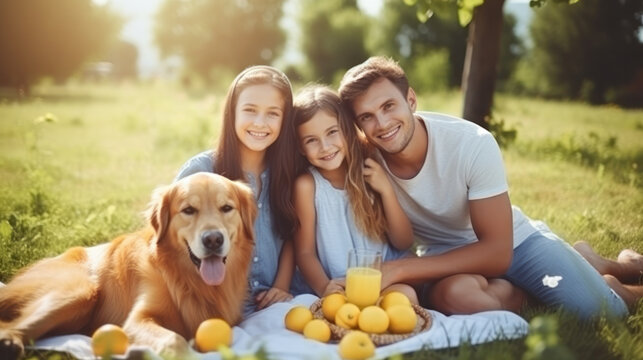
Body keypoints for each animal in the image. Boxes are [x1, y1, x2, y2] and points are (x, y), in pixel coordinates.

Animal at [0, 173, 256, 358]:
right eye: (188, 210)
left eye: (226, 208)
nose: (213, 240)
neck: (187, 278)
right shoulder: (136, 321)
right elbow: (174, 338)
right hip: (78, 290)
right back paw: (10, 343)